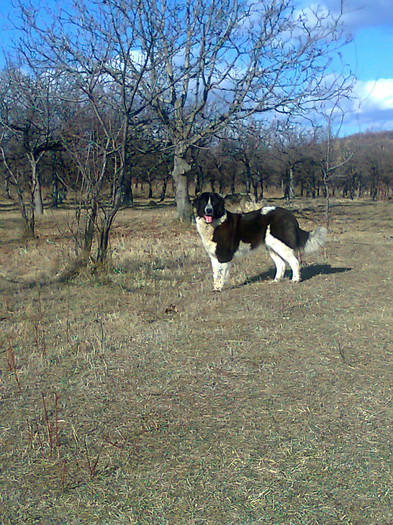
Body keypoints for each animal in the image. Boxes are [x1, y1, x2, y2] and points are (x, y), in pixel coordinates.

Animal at [194, 192, 328, 290]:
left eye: (214, 203)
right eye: (204, 202)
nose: (208, 210)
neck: (214, 223)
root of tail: (290, 215)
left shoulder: (224, 255)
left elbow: (221, 273)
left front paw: (220, 288)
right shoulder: (214, 256)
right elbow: (216, 274)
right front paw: (216, 288)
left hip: (280, 244)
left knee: (294, 261)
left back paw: (295, 280)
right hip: (272, 246)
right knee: (281, 263)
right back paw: (276, 281)